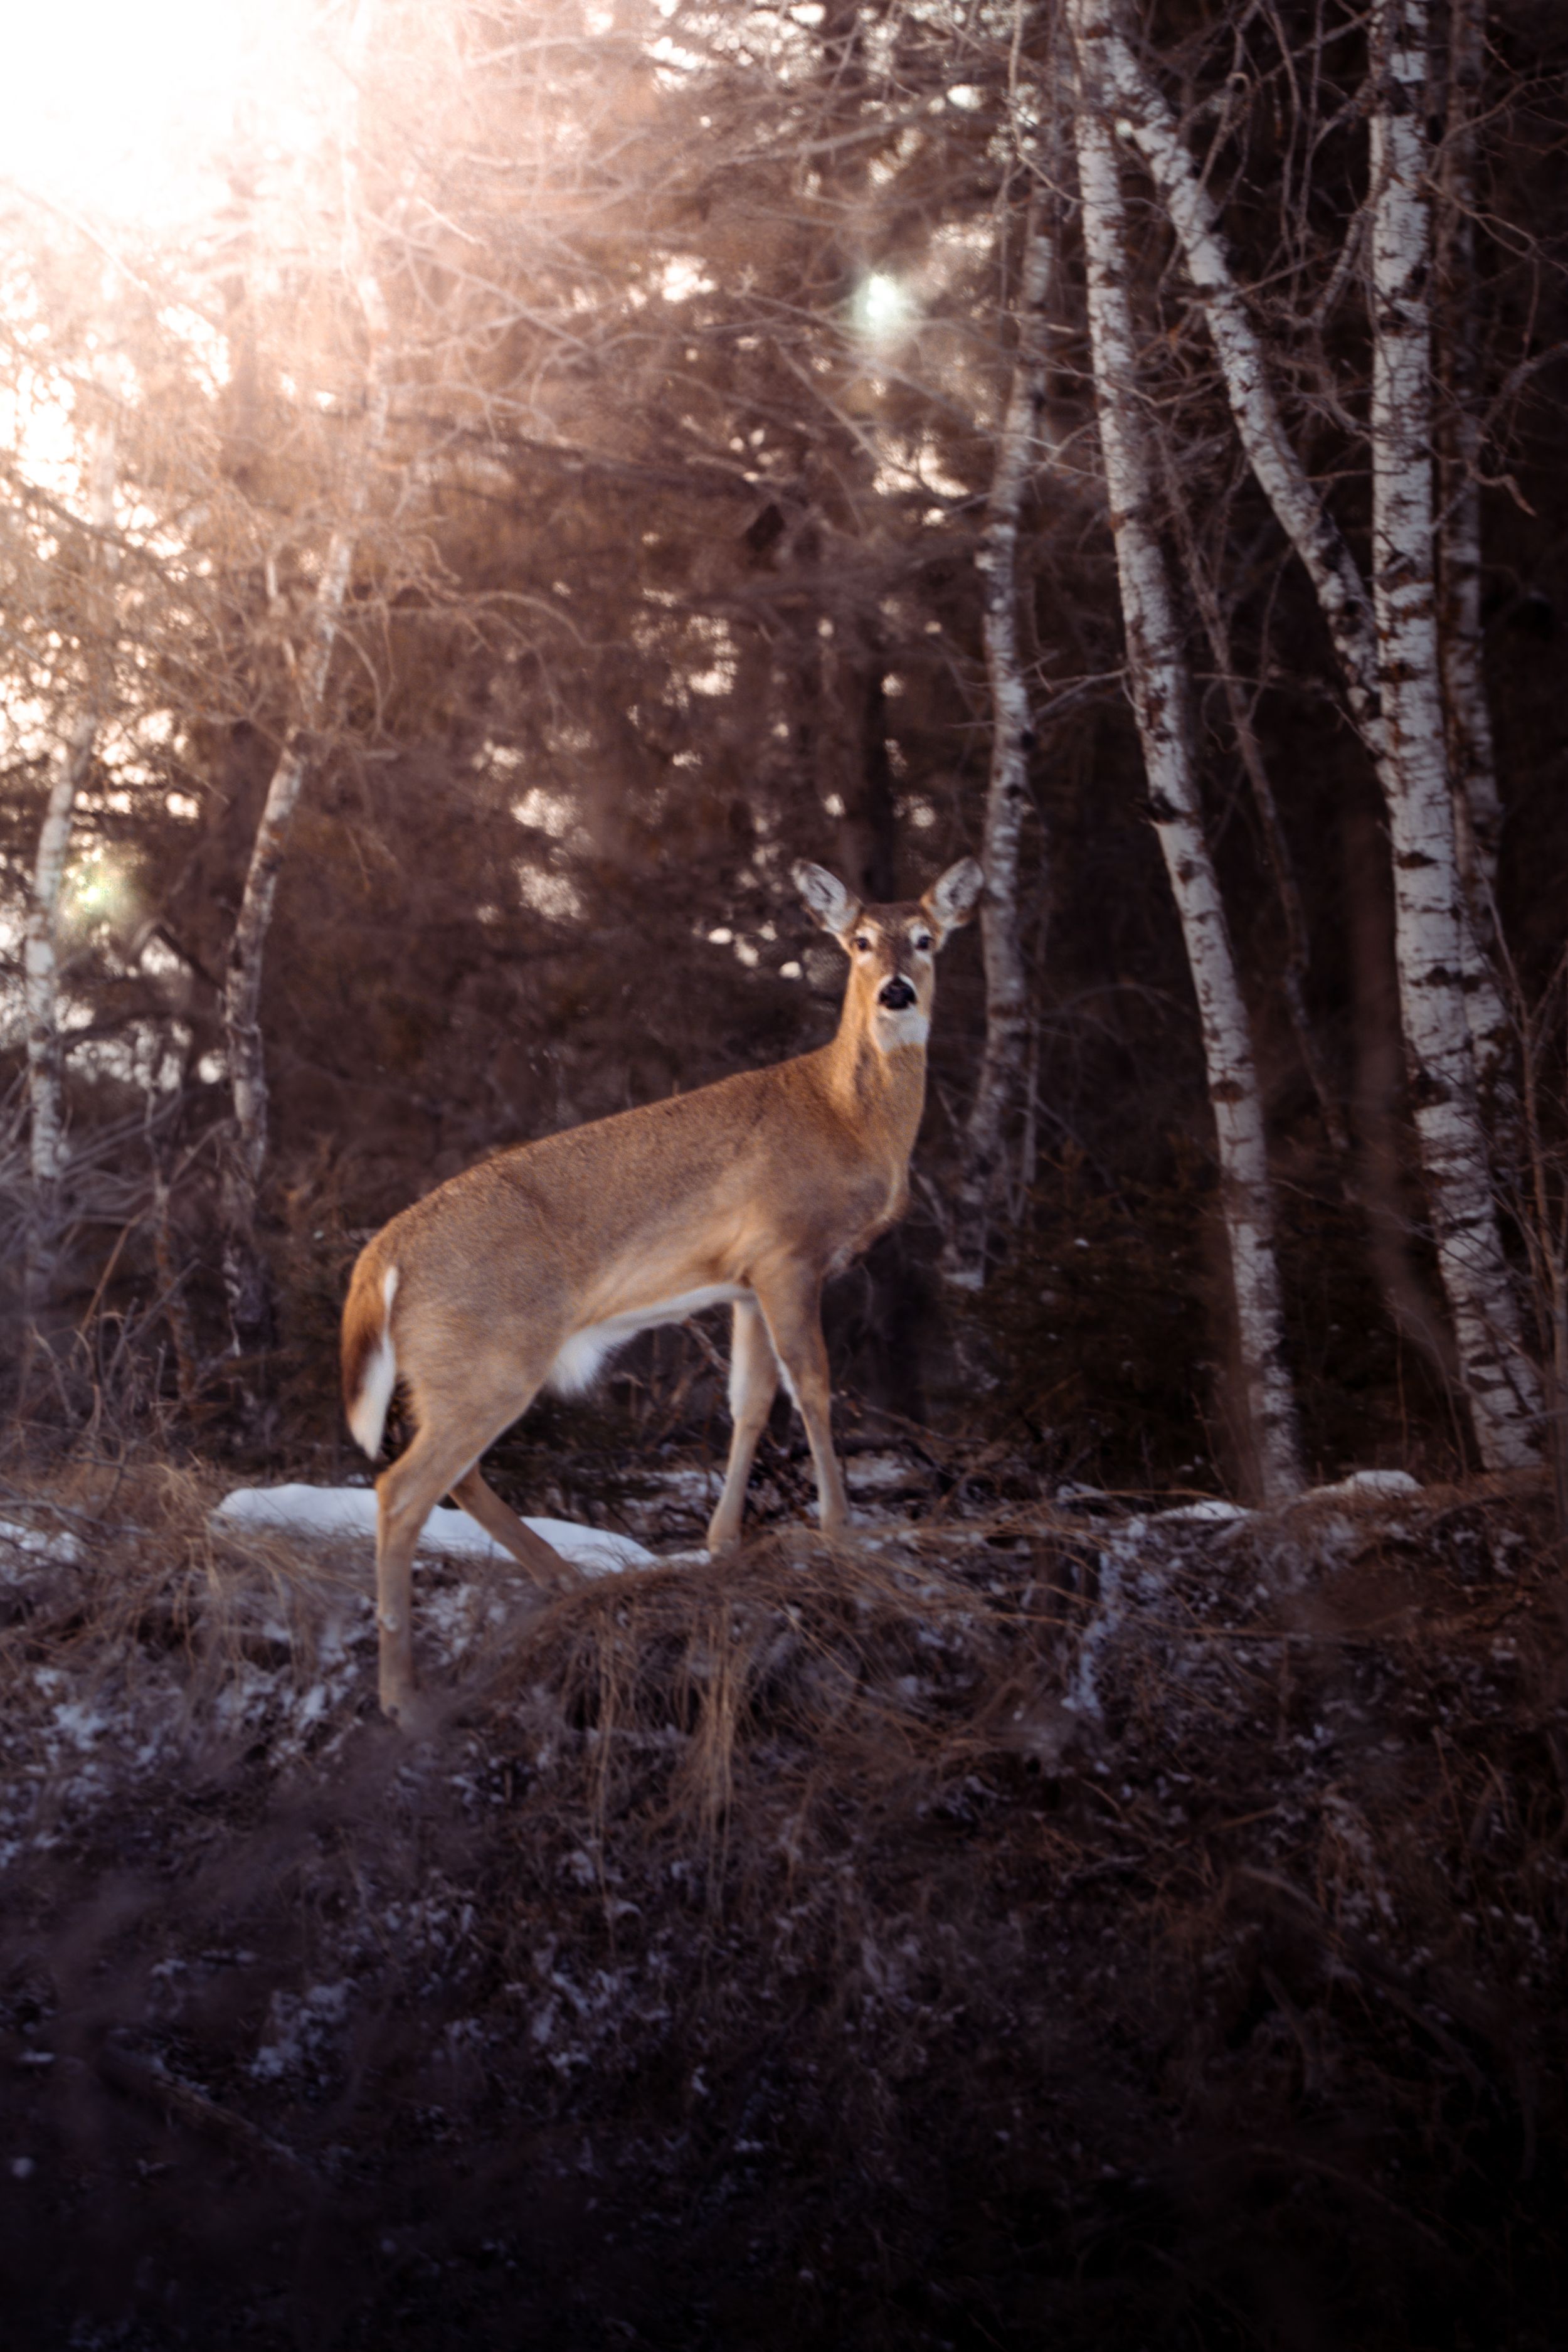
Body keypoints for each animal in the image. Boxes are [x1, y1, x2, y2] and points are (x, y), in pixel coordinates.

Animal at [340, 854, 983, 1723]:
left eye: (924, 937)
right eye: (857, 941)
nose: (896, 991)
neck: (846, 1117)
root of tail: (381, 1257)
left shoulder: (744, 1280)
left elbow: (750, 1402)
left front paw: (721, 1541)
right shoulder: (787, 1250)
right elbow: (813, 1386)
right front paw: (840, 1529)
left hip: (453, 1368)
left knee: (452, 1476)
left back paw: (563, 1577)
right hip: (487, 1357)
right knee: (398, 1488)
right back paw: (404, 1696)